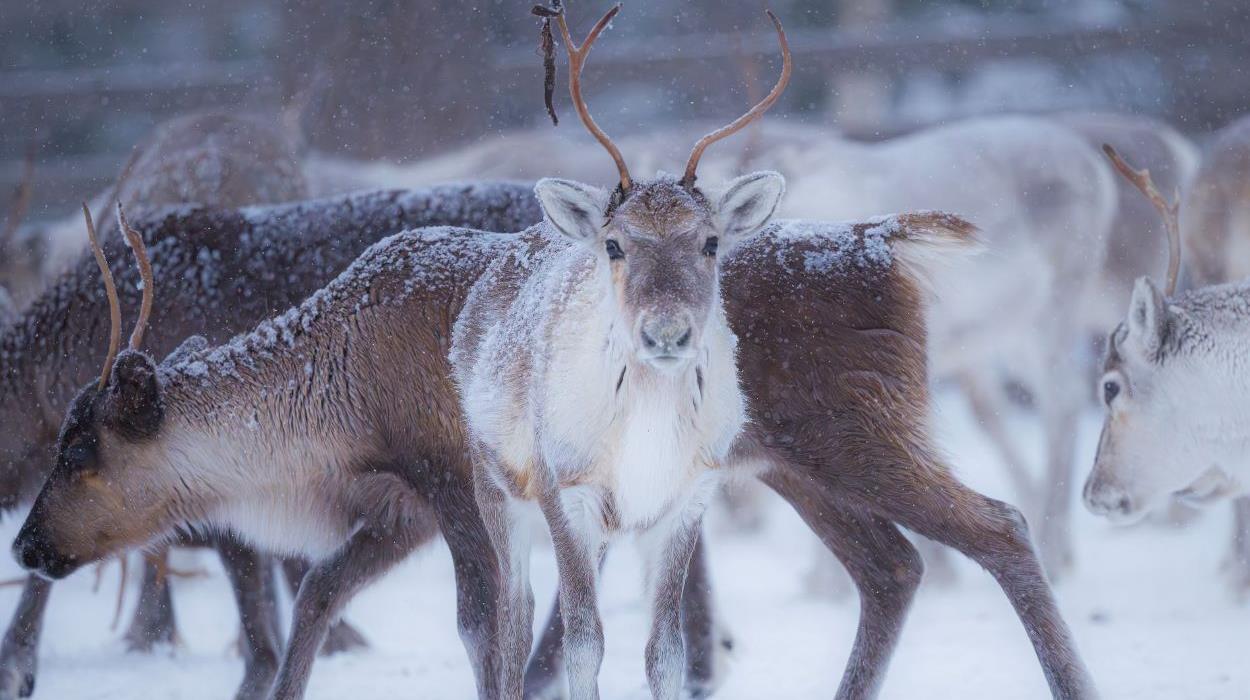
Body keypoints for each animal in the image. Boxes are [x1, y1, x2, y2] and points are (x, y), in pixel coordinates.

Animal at [0, 183, 546, 700]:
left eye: (77, 451)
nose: (24, 546)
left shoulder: (456, 491)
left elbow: (485, 628)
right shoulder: (403, 511)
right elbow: (316, 593)